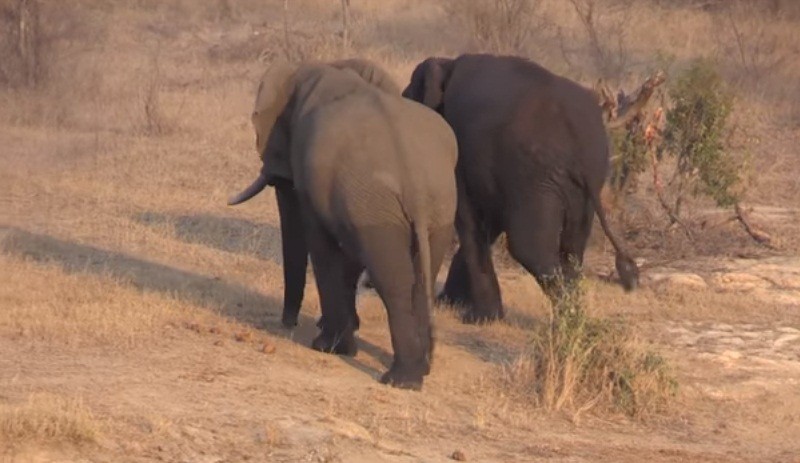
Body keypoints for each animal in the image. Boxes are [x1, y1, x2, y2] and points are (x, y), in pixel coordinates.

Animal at [228, 59, 460, 392]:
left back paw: (401, 380)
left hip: (378, 206)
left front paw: (328, 346)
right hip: (437, 206)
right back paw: (422, 369)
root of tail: (414, 180)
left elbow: (322, 248)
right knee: (420, 278)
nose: (287, 324)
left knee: (395, 283)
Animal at [404, 53, 640, 322]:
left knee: (529, 248)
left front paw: (478, 318)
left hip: (535, 175)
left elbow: (468, 219)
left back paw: (566, 320)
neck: (447, 64)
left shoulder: (459, 149)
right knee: (572, 249)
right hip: (580, 186)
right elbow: (488, 225)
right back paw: (572, 317)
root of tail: (581, 142)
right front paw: (455, 305)